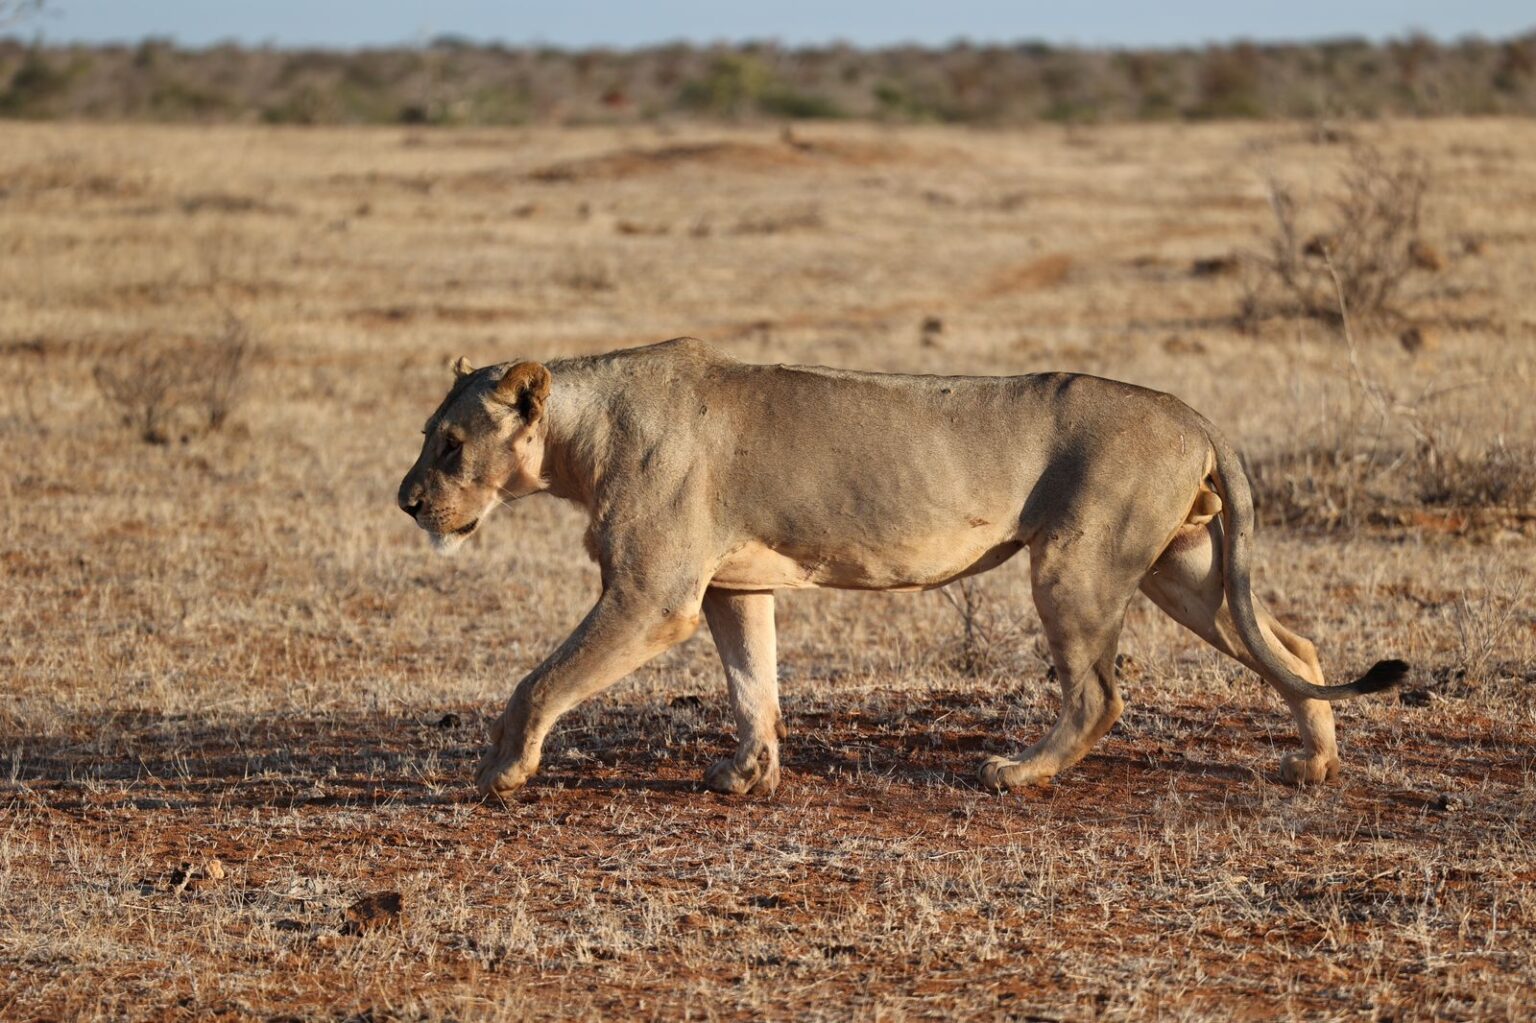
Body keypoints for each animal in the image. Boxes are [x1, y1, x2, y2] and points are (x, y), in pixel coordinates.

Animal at [397, 339, 1406, 799]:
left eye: (450, 445)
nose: (406, 500)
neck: (582, 438)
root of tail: (1193, 412)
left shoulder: (653, 595)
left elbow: (539, 680)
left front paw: (502, 769)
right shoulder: (733, 586)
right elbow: (752, 686)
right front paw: (749, 775)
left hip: (1077, 562)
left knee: (1099, 693)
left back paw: (1018, 772)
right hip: (1183, 568)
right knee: (1297, 647)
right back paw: (1316, 761)